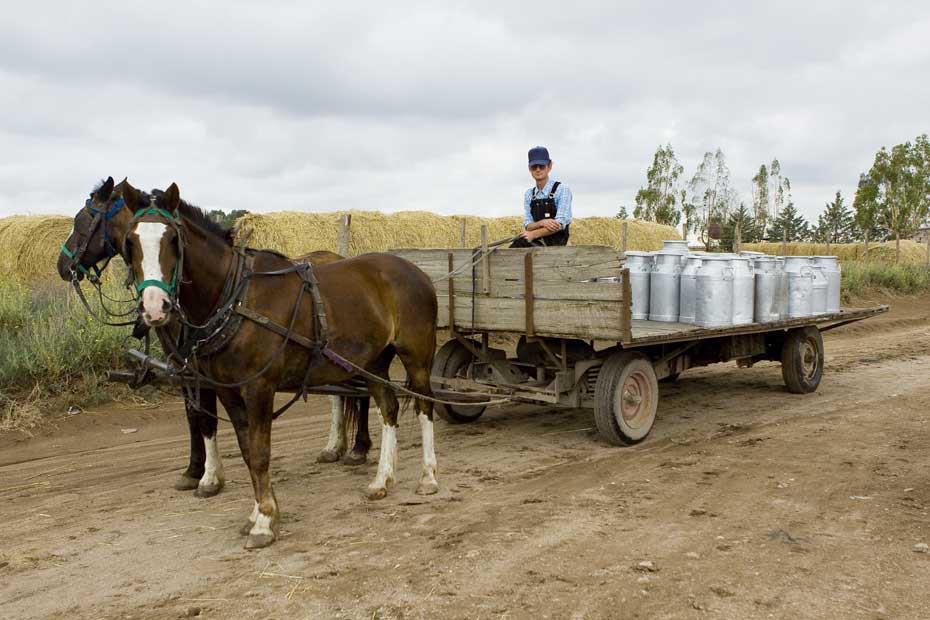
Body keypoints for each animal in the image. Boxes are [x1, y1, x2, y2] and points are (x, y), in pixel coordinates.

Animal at [115, 179, 438, 548]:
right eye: (130, 242)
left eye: (172, 239)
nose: (155, 307)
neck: (236, 298)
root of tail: (416, 271)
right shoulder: (228, 390)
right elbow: (246, 451)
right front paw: (257, 513)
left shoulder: (259, 388)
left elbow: (260, 453)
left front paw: (265, 522)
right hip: (373, 362)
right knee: (388, 408)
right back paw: (382, 480)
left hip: (416, 356)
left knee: (425, 407)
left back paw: (428, 477)